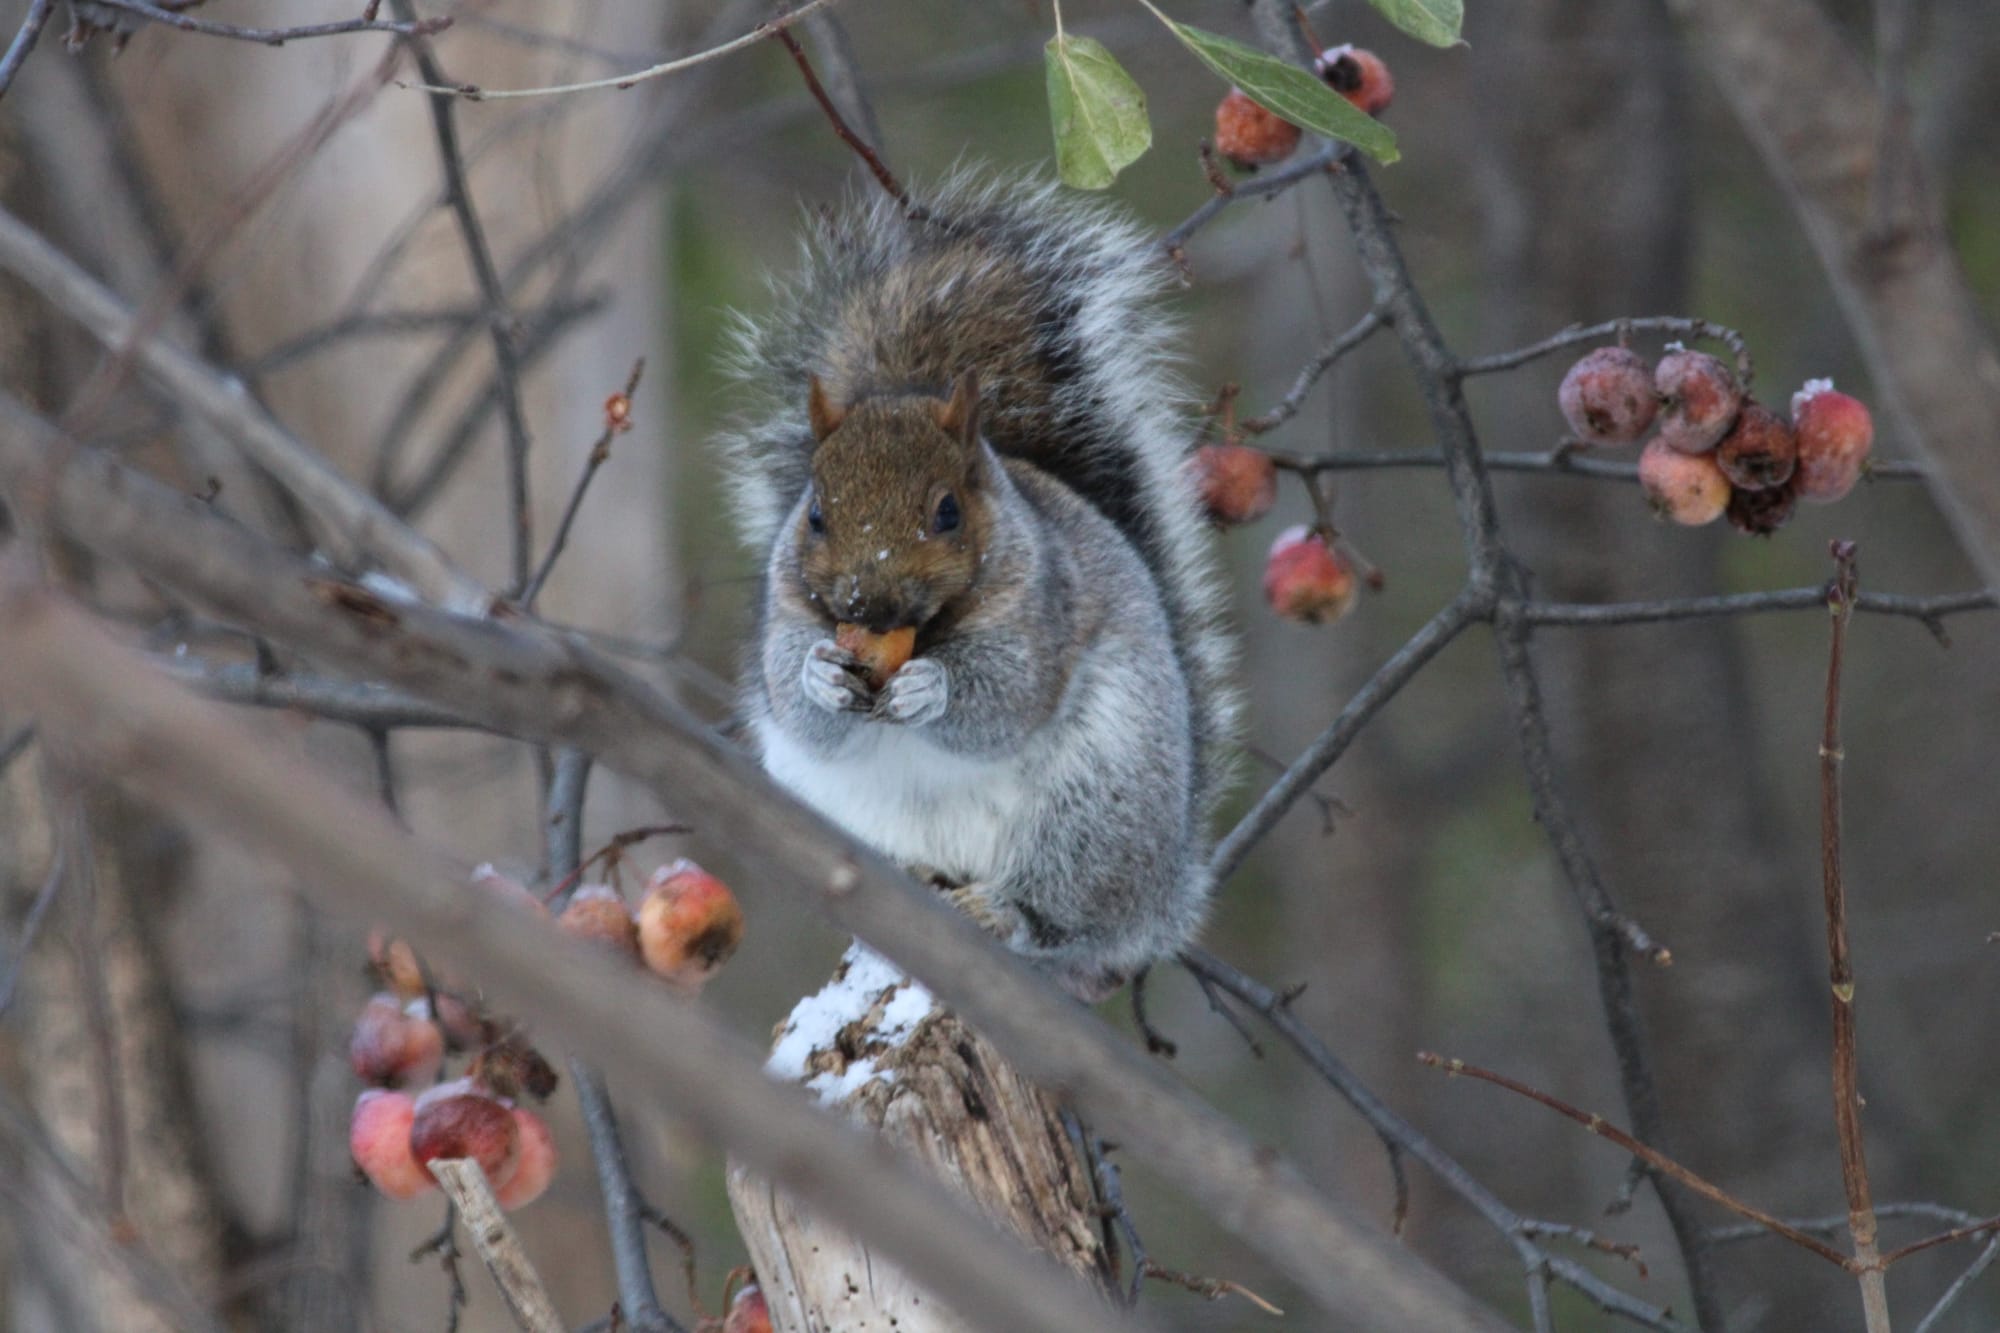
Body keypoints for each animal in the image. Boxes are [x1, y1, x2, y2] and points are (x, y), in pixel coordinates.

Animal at [717, 173, 1238, 1001]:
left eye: (948, 511)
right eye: (816, 512)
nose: (865, 602)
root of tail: (1163, 898)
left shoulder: (1044, 612)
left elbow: (1004, 700)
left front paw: (934, 688)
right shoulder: (785, 613)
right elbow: (798, 703)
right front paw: (821, 675)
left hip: (1096, 809)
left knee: (1061, 912)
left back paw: (1007, 913)